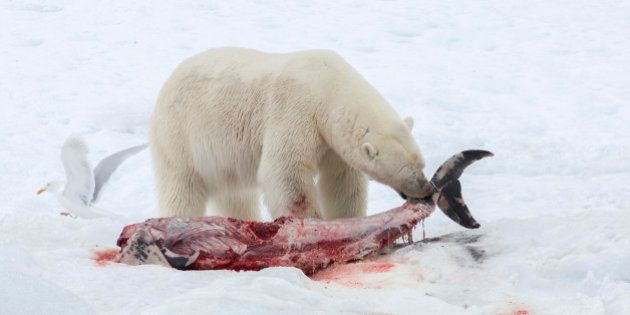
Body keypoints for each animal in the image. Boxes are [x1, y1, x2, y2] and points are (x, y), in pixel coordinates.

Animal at [149, 48, 434, 221]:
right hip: (181, 136)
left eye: (421, 164)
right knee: (182, 189)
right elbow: (286, 171)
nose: (427, 188)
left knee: (236, 196)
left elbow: (342, 181)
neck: (327, 85)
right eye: (407, 172)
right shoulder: (296, 110)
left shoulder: (331, 141)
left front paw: (348, 220)